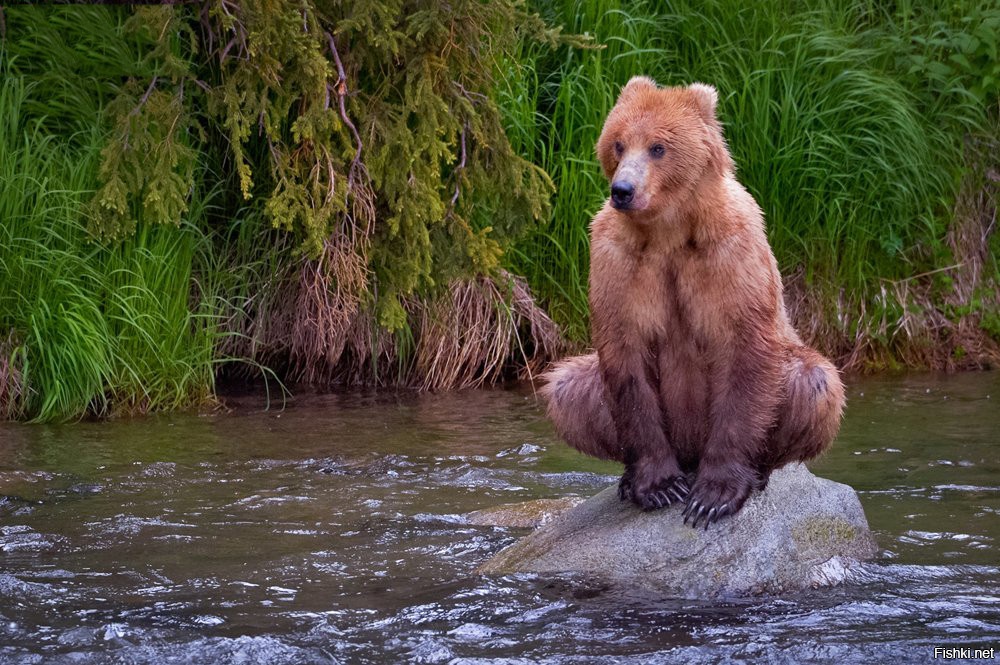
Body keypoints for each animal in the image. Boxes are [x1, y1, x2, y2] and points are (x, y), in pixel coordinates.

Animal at [540, 75, 844, 528]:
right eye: (618, 143)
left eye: (658, 146)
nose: (622, 190)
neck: (668, 230)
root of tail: (690, 454)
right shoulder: (618, 260)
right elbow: (626, 357)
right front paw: (659, 485)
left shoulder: (729, 254)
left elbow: (745, 350)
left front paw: (714, 495)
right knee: (567, 388)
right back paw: (629, 478)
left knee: (815, 381)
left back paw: (759, 472)